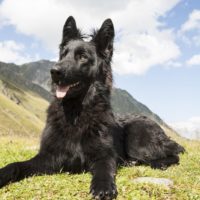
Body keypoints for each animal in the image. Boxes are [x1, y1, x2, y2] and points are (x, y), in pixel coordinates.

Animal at [0, 16, 184, 199]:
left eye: (82, 57)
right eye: (63, 55)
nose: (54, 71)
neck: (75, 112)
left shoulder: (104, 155)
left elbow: (104, 168)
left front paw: (103, 186)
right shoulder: (48, 156)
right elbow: (16, 165)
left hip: (136, 139)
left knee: (173, 154)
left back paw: (156, 163)